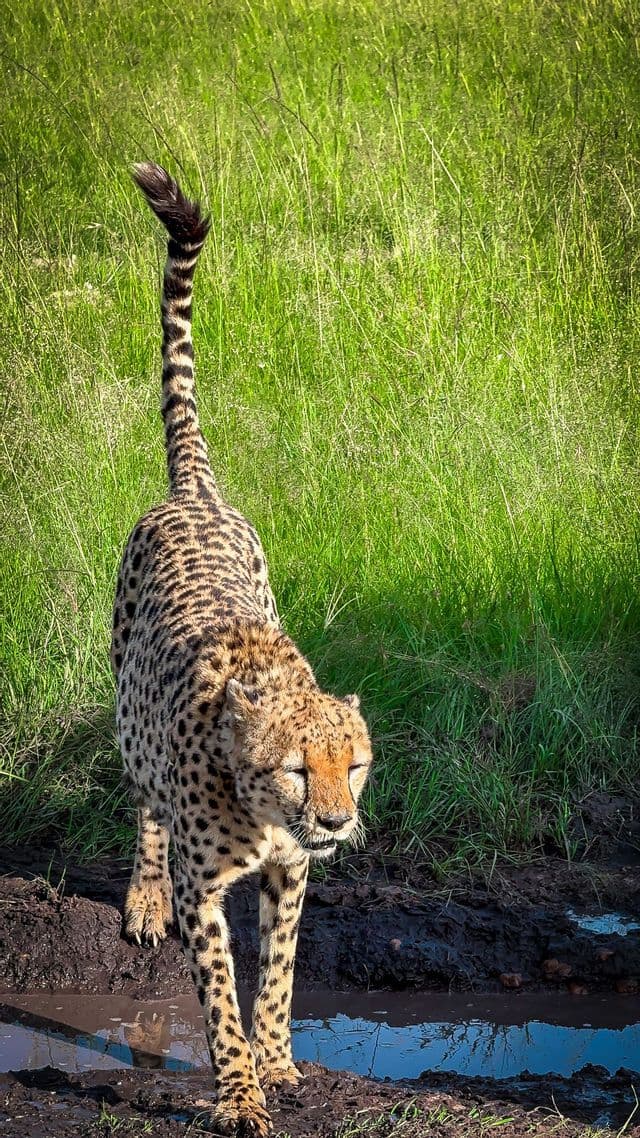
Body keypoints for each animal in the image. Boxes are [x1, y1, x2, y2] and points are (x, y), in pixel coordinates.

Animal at [111, 162, 373, 1137]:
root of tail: (195, 491)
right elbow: (220, 996)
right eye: (298, 768)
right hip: (127, 718)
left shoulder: (291, 878)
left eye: (354, 765)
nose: (336, 823)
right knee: (143, 802)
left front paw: (281, 1063)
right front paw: (238, 1094)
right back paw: (141, 896)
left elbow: (280, 976)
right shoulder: (208, 891)